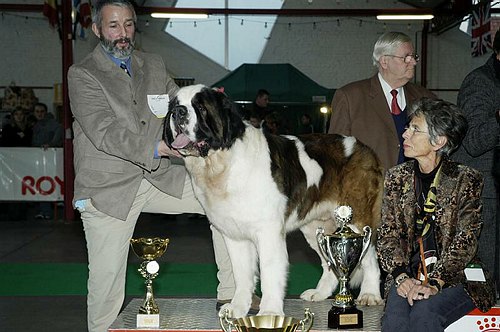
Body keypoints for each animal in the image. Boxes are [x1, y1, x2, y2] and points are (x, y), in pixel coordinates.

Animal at [164, 84, 382, 318]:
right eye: (175, 105)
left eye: (201, 107)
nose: (178, 112)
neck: (220, 164)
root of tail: (364, 148)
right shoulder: (234, 235)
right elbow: (242, 273)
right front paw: (238, 307)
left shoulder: (268, 231)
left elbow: (270, 271)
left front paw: (269, 314)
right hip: (316, 227)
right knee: (329, 264)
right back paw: (319, 293)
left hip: (356, 218)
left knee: (370, 258)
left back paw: (370, 294)